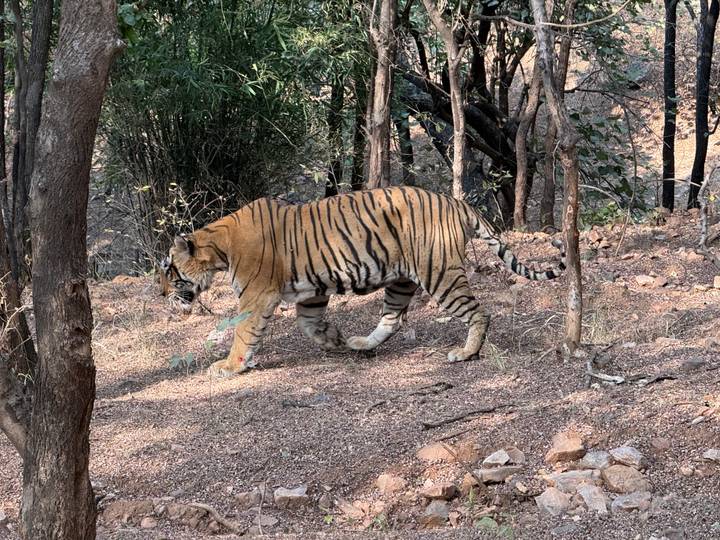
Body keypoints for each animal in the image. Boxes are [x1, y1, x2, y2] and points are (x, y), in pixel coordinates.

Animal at [160, 186, 565, 378]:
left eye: (168, 271)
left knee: (478, 312)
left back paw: (466, 352)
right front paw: (336, 341)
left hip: (439, 273)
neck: (219, 246)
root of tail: (456, 201)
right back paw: (360, 344)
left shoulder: (255, 297)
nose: (161, 294)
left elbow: (244, 334)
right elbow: (310, 325)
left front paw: (229, 366)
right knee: (392, 318)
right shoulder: (310, 292)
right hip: (401, 279)